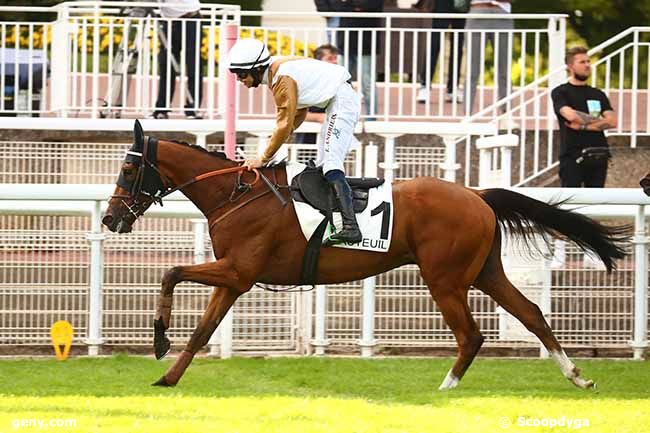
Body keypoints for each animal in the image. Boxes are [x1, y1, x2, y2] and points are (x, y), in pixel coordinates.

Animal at [104, 120, 624, 388]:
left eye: (128, 170)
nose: (110, 219)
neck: (236, 194)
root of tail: (477, 194)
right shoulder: (233, 278)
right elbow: (203, 330)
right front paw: (168, 375)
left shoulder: (238, 270)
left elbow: (172, 272)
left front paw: (158, 340)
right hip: (485, 272)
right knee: (531, 312)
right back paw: (576, 375)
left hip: (445, 278)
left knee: (471, 334)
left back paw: (447, 388)